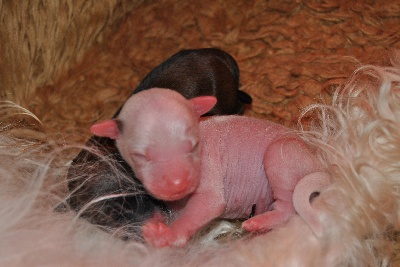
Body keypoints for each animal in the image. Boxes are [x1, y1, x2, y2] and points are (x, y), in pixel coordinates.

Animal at [90, 89, 332, 248]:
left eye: (194, 145)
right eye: (141, 156)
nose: (178, 183)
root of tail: (318, 164)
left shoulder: (208, 166)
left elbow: (209, 202)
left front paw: (168, 235)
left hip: (284, 154)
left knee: (288, 207)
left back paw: (261, 222)